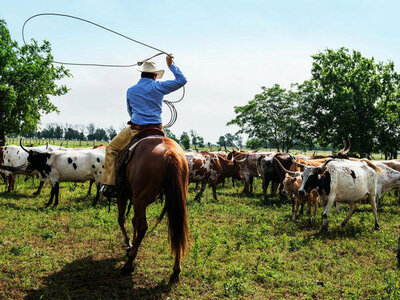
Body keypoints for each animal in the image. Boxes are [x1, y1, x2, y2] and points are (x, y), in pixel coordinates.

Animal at [117, 137, 189, 282]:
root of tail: (170, 153)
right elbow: (133, 222)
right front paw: (131, 245)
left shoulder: (124, 195)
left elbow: (122, 219)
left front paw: (129, 245)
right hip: (176, 198)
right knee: (177, 227)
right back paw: (176, 269)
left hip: (139, 199)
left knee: (142, 227)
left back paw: (129, 262)